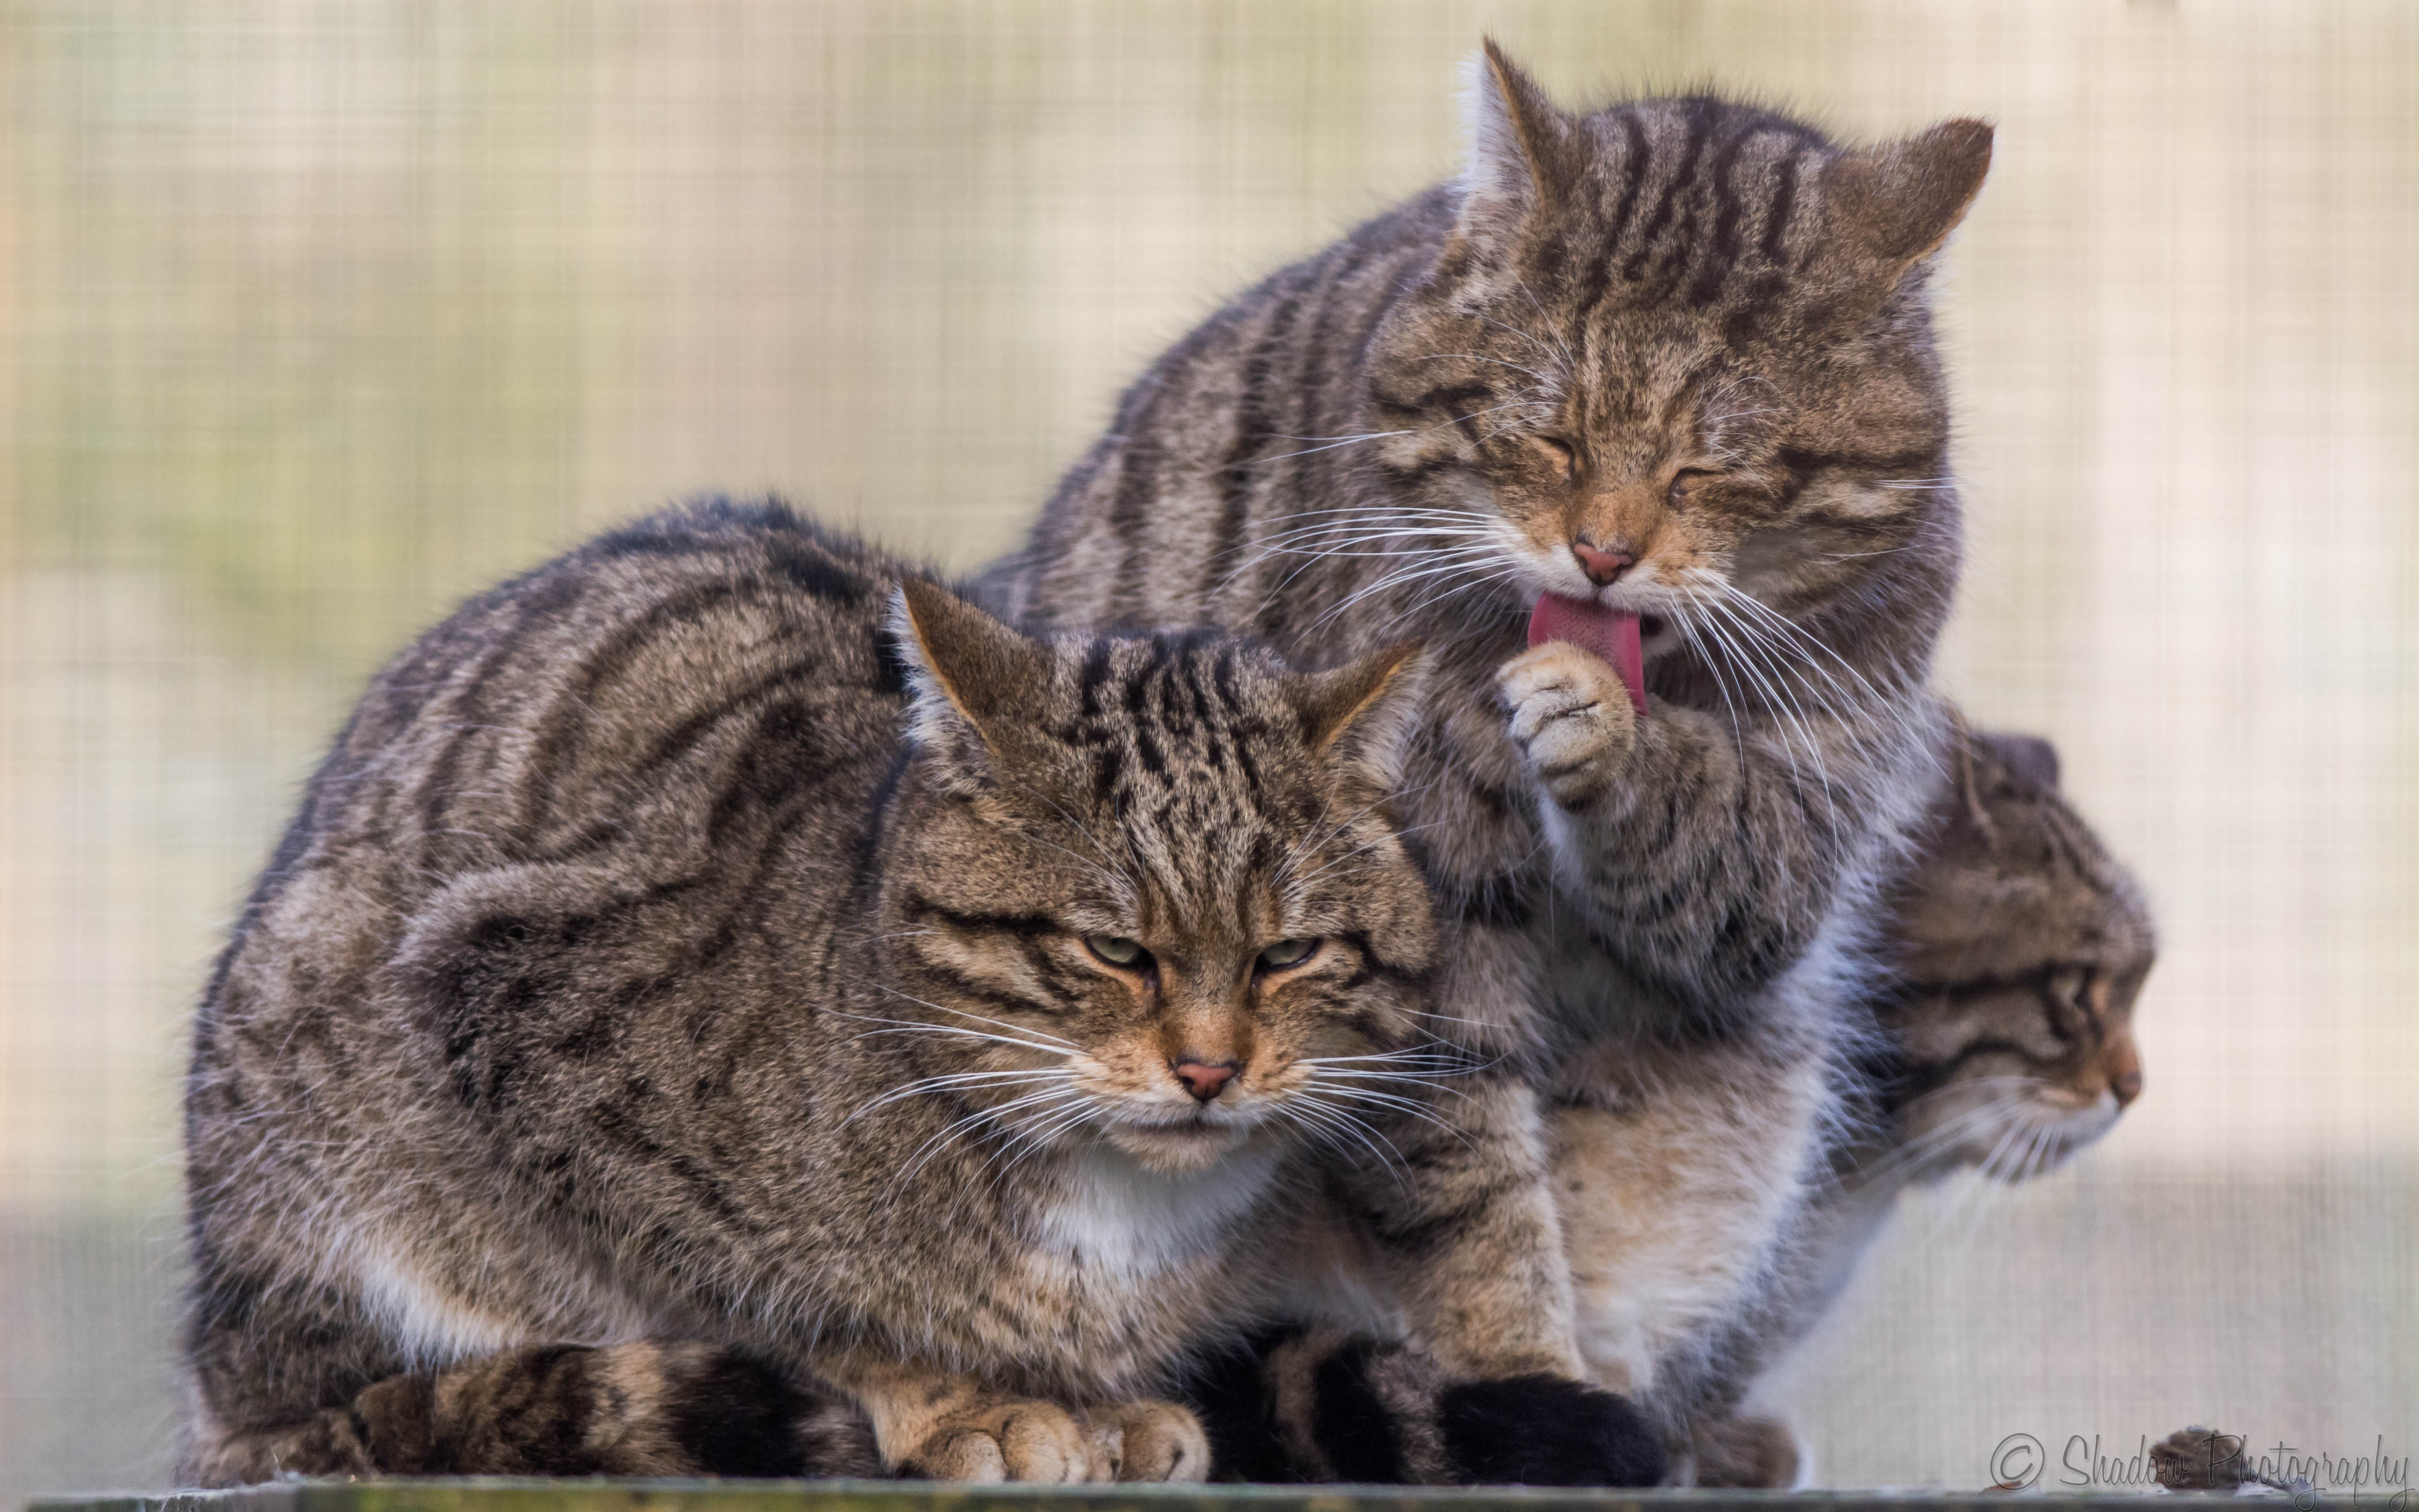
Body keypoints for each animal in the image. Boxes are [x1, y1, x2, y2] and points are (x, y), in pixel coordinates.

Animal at [179, 498, 1623, 1485]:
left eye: (1284, 955)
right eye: (1115, 951)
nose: (1210, 1068)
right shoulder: (508, 1013)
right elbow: (758, 1294)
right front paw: (958, 1393)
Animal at [985, 39, 1994, 1442]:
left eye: (1708, 468)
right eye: (1548, 432)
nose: (1601, 553)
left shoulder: (1797, 836)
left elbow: (1712, 852)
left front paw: (1607, 731)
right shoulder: (1424, 917)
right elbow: (1469, 1187)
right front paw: (1522, 1372)